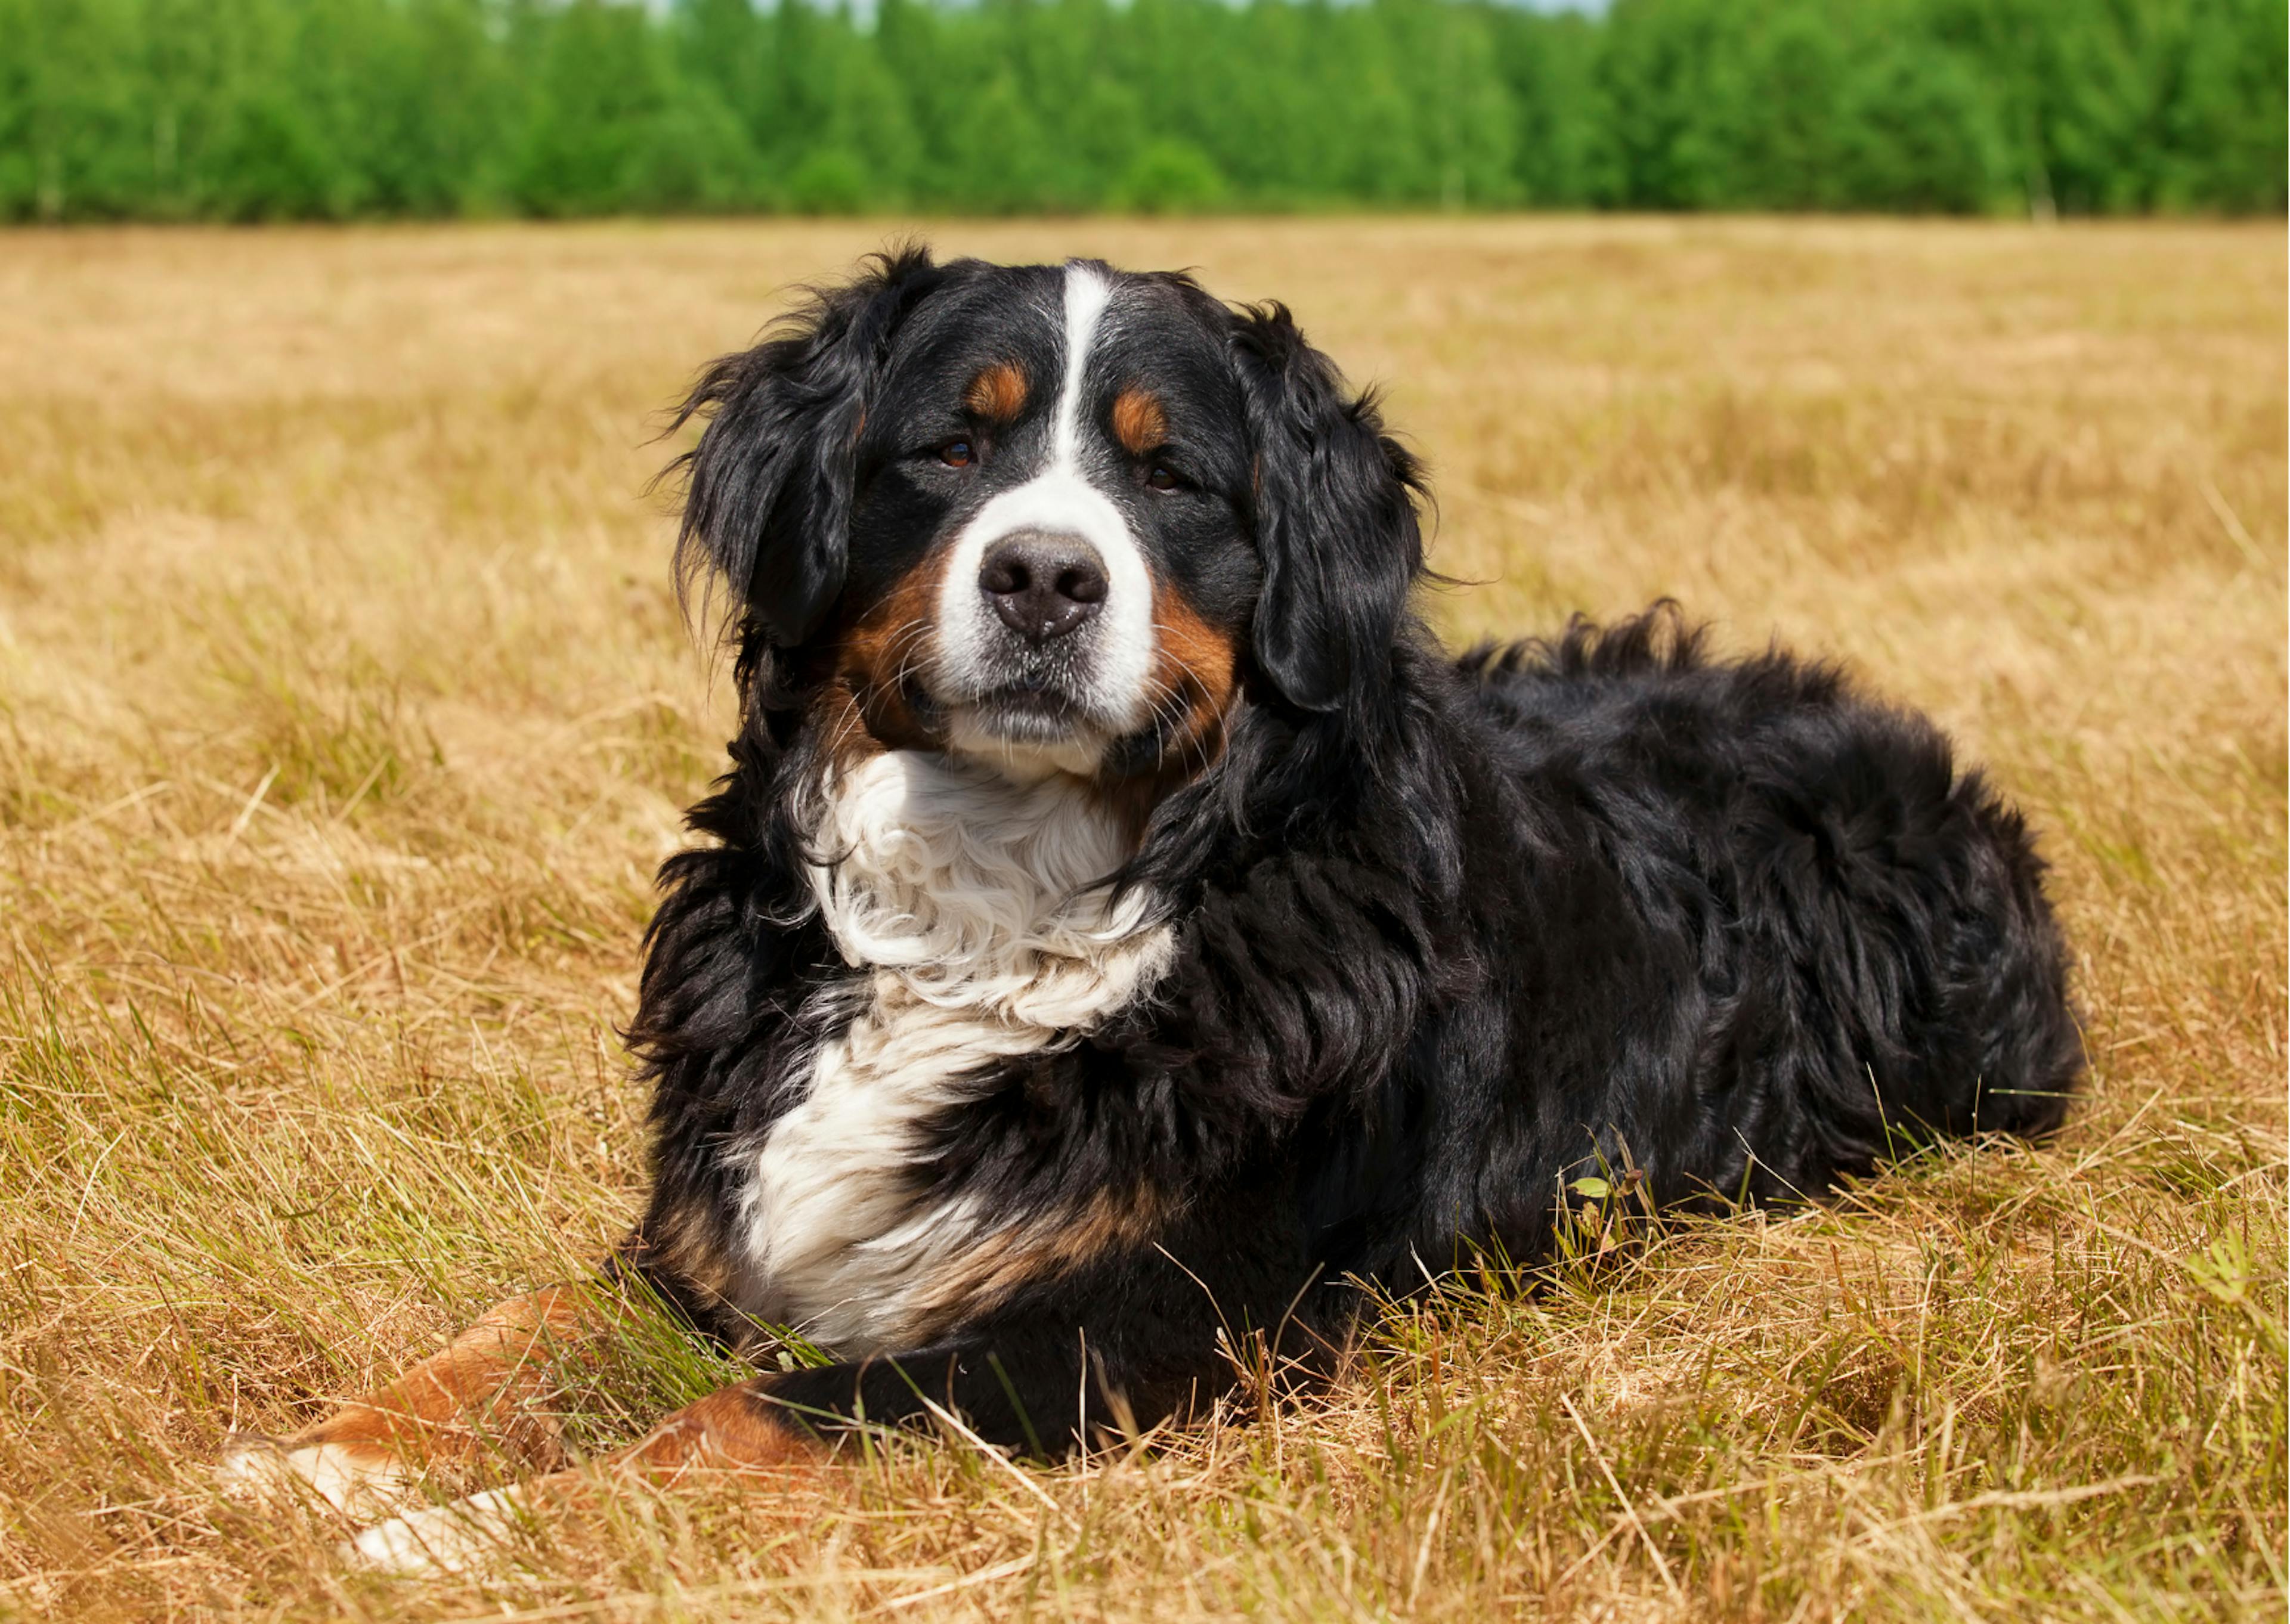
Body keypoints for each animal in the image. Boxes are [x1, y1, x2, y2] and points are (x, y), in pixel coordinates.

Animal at [223, 247, 2088, 1566]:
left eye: (1170, 477)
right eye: (950, 447)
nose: (1045, 576)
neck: (993, 906)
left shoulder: (1127, 1325)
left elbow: (751, 1420)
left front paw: (467, 1533)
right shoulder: (717, 1231)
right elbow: (523, 1325)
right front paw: (319, 1456)